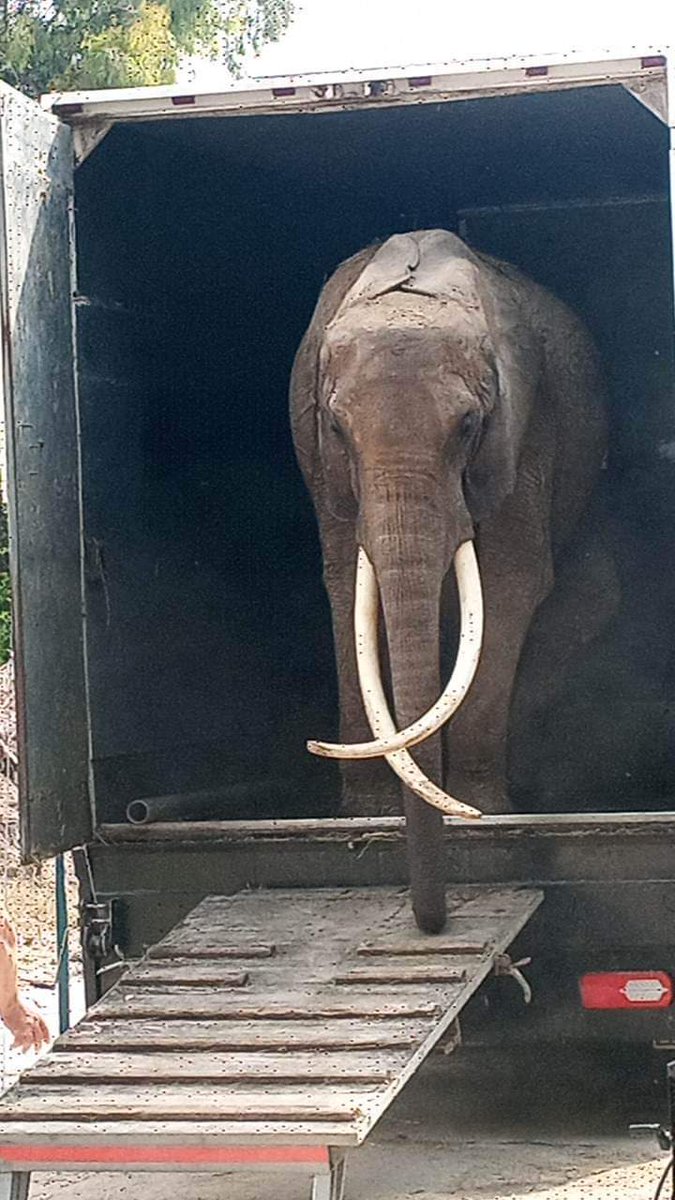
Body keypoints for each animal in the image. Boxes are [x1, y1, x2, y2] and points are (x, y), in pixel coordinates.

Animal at [290, 230, 607, 932]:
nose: (431, 922)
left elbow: (514, 579)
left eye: (467, 427)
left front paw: (486, 808)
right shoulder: (323, 466)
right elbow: (342, 581)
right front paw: (366, 815)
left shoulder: (527, 428)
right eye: (337, 427)